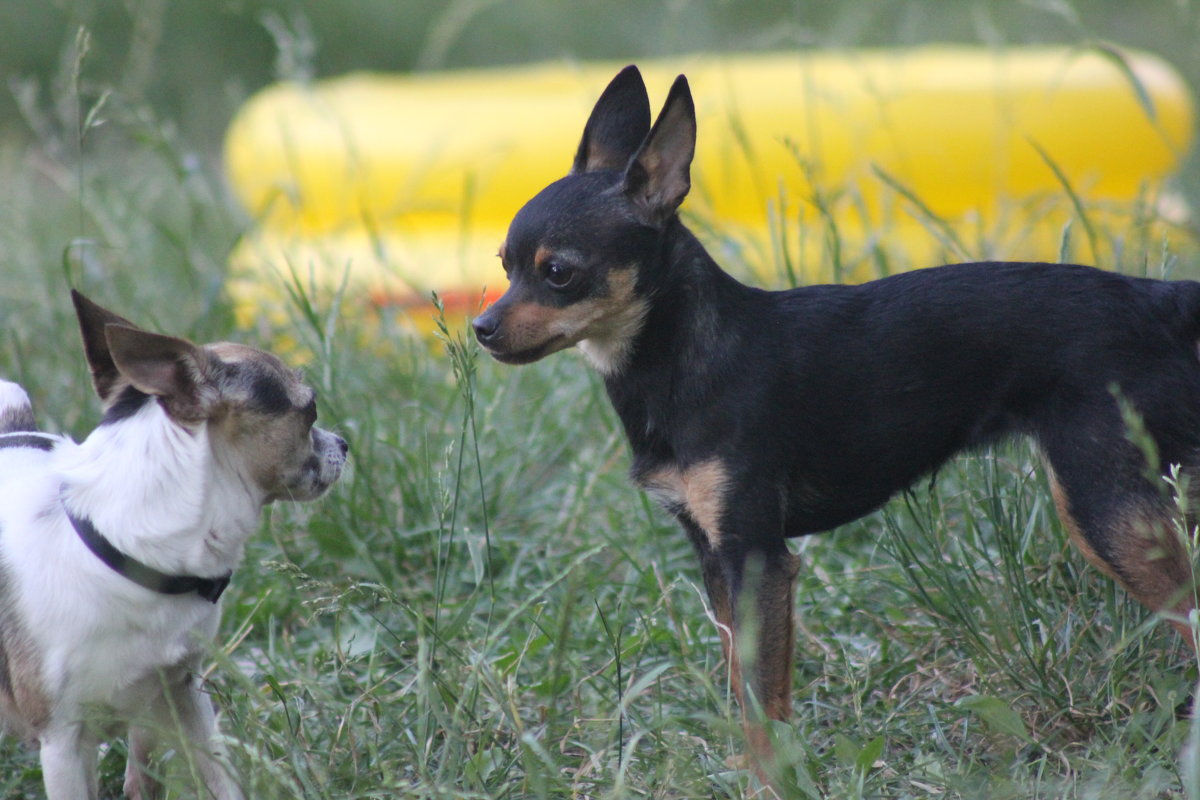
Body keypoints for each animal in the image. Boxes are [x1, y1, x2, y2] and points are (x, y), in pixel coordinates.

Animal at [0, 293, 348, 800]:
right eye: (311, 410)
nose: (344, 443)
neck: (126, 558)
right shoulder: (62, 743)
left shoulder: (184, 693)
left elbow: (221, 778)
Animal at [472, 65, 1200, 777]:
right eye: (504, 266)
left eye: (558, 273)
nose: (481, 328)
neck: (683, 357)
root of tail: (1159, 300)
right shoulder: (716, 560)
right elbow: (745, 685)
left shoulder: (756, 558)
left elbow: (762, 696)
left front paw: (771, 782)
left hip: (1106, 509)